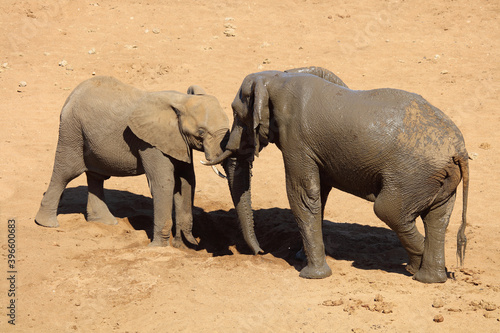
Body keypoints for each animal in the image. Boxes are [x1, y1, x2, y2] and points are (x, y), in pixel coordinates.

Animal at [35, 76, 230, 246]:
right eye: (201, 132)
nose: (196, 243)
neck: (182, 100)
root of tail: (72, 94)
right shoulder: (150, 143)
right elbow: (164, 183)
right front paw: (158, 248)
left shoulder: (178, 141)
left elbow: (187, 181)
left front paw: (183, 245)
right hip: (71, 131)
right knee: (65, 173)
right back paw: (47, 224)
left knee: (96, 176)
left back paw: (105, 223)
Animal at [208, 65, 468, 282]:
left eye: (235, 113)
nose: (259, 251)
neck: (278, 77)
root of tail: (459, 151)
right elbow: (318, 194)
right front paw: (302, 257)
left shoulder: (296, 140)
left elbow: (302, 195)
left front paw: (311, 274)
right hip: (439, 179)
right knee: (438, 219)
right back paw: (431, 277)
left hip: (412, 176)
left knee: (389, 210)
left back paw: (417, 267)